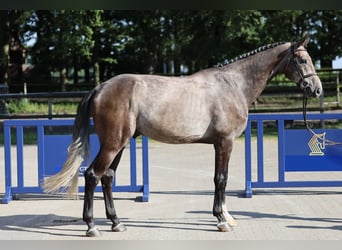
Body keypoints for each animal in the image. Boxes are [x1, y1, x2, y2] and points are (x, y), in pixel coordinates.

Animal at [43, 37, 324, 236]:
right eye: (302, 61)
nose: (317, 89)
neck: (233, 84)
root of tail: (100, 88)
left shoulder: (220, 144)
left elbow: (220, 179)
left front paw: (226, 216)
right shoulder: (225, 142)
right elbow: (221, 179)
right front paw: (221, 220)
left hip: (119, 145)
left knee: (107, 178)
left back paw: (116, 222)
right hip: (113, 144)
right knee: (92, 175)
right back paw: (92, 226)